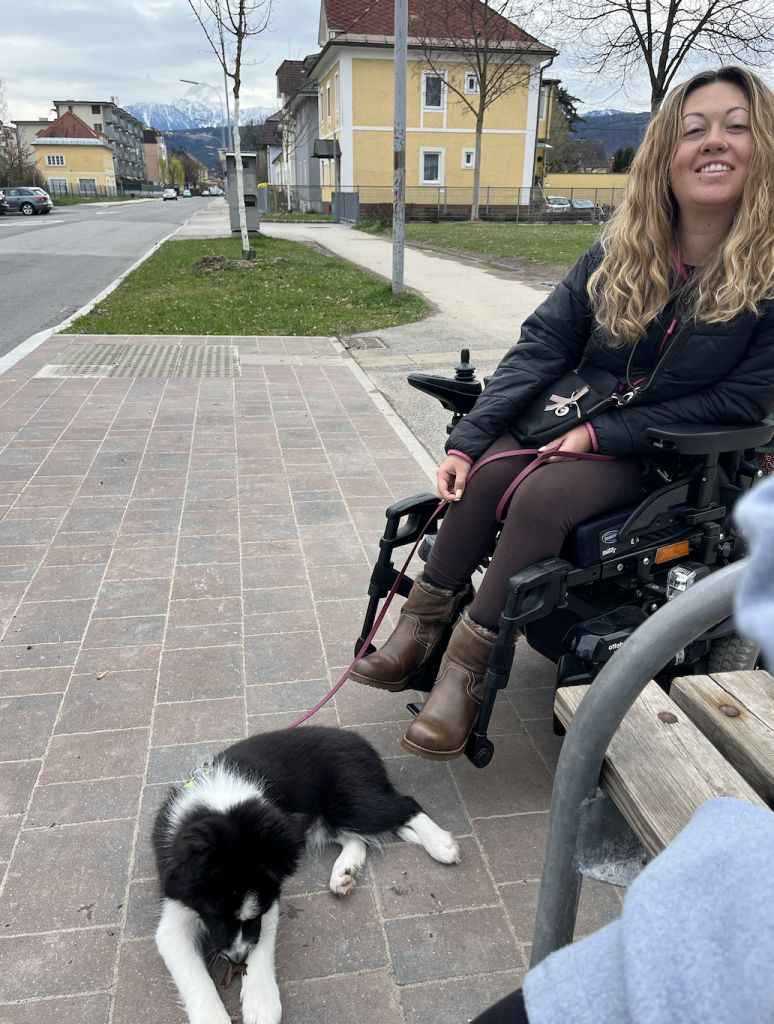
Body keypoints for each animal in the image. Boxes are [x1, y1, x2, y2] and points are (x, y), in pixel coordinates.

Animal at [153, 725, 460, 1024]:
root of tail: (356, 739)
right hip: (320, 823)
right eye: (218, 917)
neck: (223, 809)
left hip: (351, 800)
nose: (237, 958)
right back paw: (344, 871)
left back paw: (441, 845)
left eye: (256, 913)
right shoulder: (175, 909)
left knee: (406, 806)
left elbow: (260, 942)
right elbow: (193, 975)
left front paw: (261, 1003)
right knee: (356, 838)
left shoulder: (269, 898)